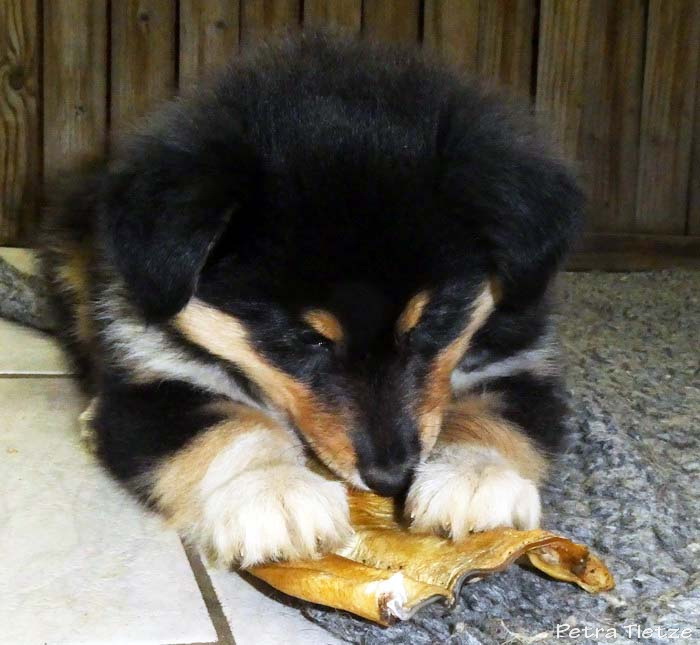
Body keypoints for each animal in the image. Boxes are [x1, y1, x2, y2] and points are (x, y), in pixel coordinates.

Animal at [41, 33, 582, 568]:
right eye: (303, 339)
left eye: (433, 320)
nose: (392, 477)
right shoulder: (152, 377)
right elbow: (228, 427)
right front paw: (273, 492)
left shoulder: (521, 363)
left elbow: (493, 417)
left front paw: (475, 480)